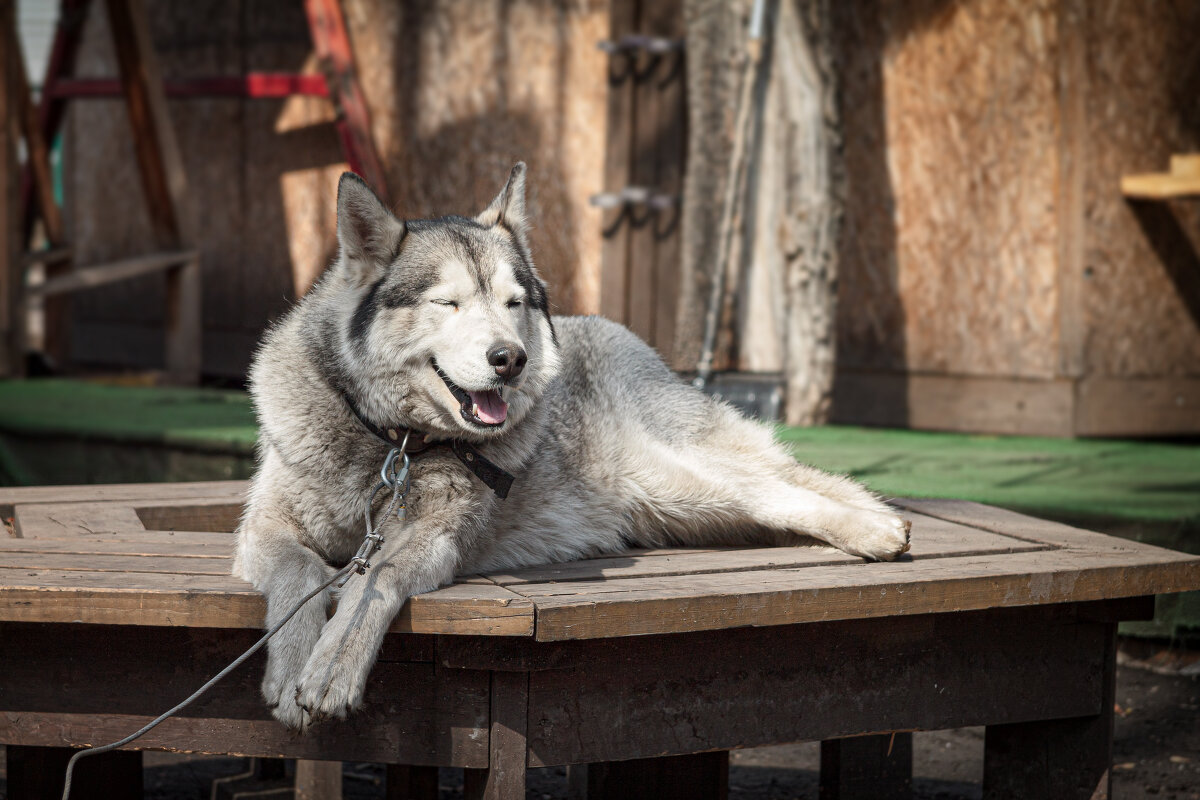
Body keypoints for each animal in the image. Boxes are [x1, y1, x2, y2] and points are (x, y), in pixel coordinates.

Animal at [234, 165, 907, 729]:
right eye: (446, 302)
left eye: (513, 303)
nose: (510, 358)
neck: (395, 446)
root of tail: (628, 340)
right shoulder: (264, 527)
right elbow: (299, 571)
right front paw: (292, 666)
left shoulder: (438, 539)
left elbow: (377, 576)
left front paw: (330, 668)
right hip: (684, 514)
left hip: (681, 483)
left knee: (781, 489)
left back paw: (877, 530)